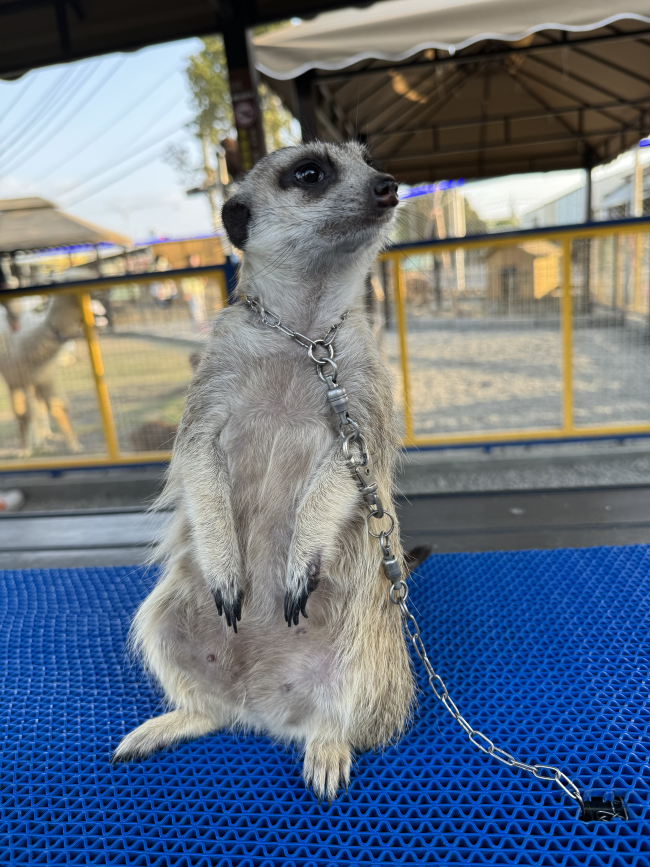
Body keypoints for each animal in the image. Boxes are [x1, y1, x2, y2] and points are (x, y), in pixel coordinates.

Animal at [112, 142, 415, 803]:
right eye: (310, 172)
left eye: (369, 159)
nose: (388, 185)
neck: (302, 336)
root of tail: (259, 701)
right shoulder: (215, 369)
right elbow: (196, 451)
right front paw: (226, 565)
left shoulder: (364, 380)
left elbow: (354, 464)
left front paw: (302, 556)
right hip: (170, 614)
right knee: (198, 689)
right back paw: (175, 719)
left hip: (369, 647)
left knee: (351, 708)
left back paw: (327, 745)